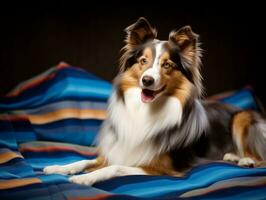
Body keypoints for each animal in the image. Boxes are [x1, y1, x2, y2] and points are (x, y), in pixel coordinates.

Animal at [43, 18, 266, 185]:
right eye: (143, 61)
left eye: (167, 64)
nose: (147, 80)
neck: (145, 111)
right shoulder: (117, 151)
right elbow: (84, 160)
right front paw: (57, 167)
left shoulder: (162, 168)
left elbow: (115, 167)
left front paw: (87, 178)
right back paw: (232, 156)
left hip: (242, 118)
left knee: (260, 156)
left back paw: (246, 159)